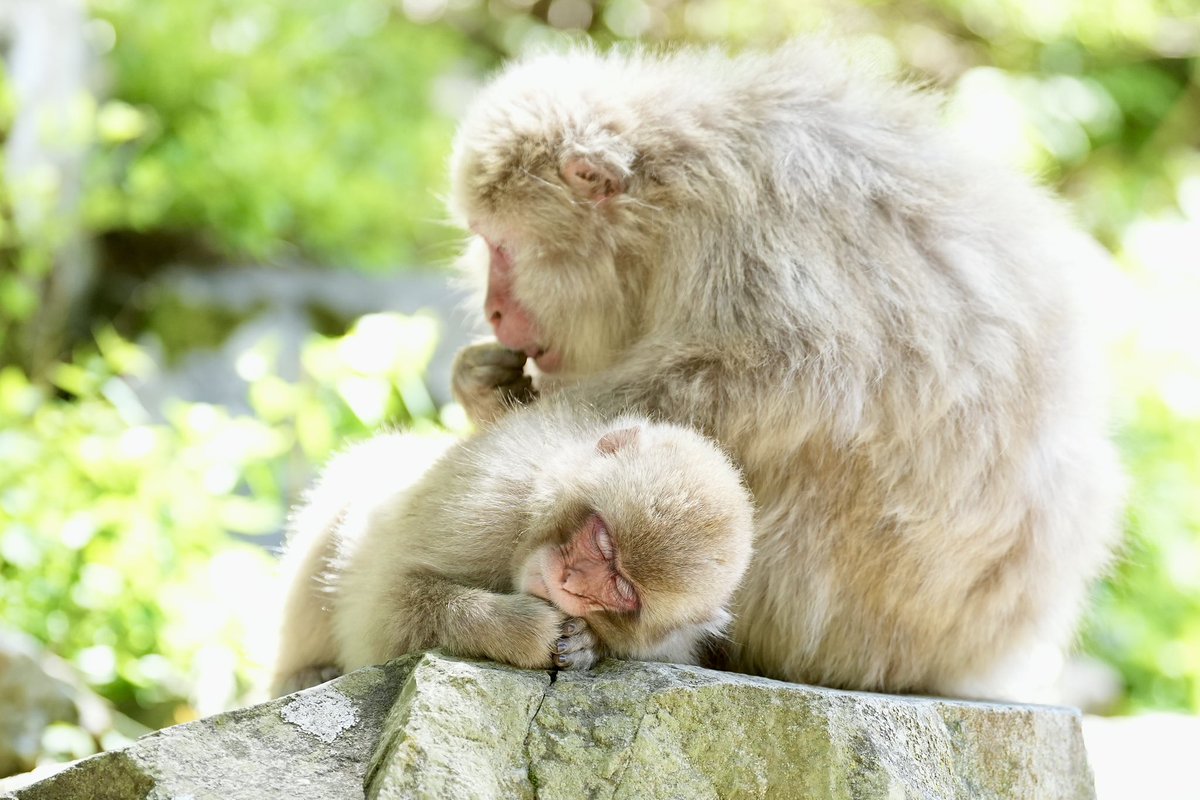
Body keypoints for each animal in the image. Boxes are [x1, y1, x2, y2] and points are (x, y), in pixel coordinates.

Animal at [270, 404, 755, 697]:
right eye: (604, 541)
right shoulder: (486, 499)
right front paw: (522, 630)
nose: (571, 582)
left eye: (622, 589)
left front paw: (587, 644)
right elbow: (377, 611)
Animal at [446, 41, 1124, 701]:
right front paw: (484, 382)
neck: (663, 209)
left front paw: (512, 409)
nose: (494, 308)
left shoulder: (748, 222)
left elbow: (785, 375)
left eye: (500, 246)